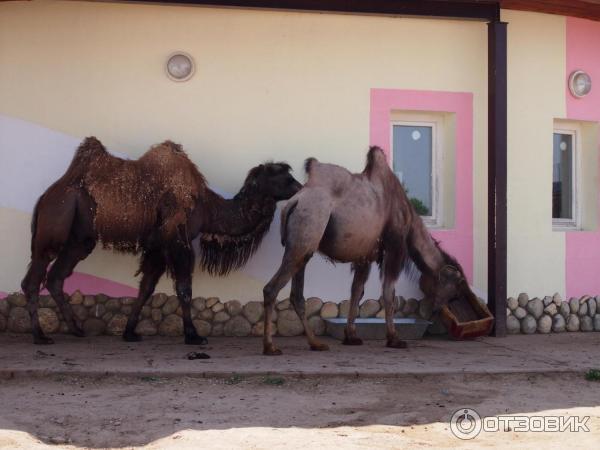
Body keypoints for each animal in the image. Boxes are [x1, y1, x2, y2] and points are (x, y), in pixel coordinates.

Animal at [21, 137, 302, 344]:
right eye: (285, 178)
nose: (301, 188)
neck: (206, 207)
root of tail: (45, 196)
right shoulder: (178, 239)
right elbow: (184, 288)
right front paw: (193, 336)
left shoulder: (157, 246)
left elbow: (146, 288)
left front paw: (130, 332)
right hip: (55, 224)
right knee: (33, 278)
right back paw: (40, 336)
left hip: (79, 240)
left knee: (56, 277)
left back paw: (77, 330)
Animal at [262, 145, 474, 356]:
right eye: (457, 288)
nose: (442, 310)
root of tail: (295, 202)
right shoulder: (395, 246)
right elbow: (388, 292)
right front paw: (394, 339)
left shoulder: (365, 256)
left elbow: (357, 291)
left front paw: (351, 336)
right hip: (306, 232)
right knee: (271, 288)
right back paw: (270, 346)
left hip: (301, 246)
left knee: (296, 295)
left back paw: (316, 343)